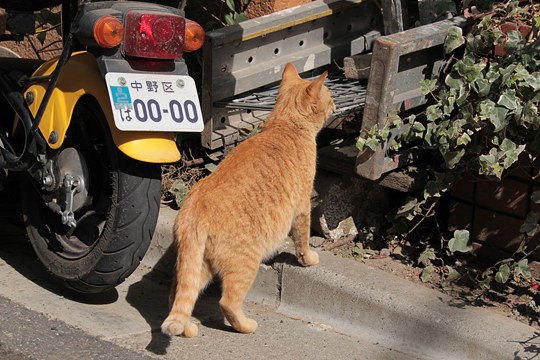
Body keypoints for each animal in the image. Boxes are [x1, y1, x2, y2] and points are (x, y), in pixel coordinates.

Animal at [162, 62, 336, 338]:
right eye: (329, 98)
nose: (336, 105)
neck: (284, 124)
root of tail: (193, 210)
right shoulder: (302, 207)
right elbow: (303, 238)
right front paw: (308, 259)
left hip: (199, 266)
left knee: (177, 296)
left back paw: (188, 328)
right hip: (245, 263)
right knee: (227, 302)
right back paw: (246, 326)